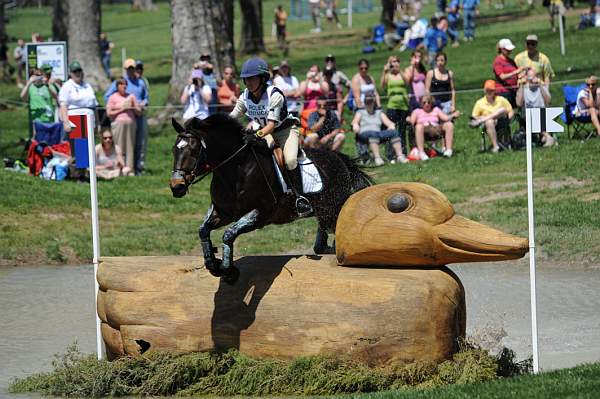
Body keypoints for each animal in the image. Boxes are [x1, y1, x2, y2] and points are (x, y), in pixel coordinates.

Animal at [169, 113, 372, 284]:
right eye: (174, 150)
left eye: (193, 150)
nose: (176, 186)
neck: (236, 170)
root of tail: (338, 158)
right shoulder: (223, 212)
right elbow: (203, 230)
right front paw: (213, 264)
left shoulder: (261, 214)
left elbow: (228, 234)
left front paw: (228, 271)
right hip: (324, 211)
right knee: (322, 238)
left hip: (332, 208)